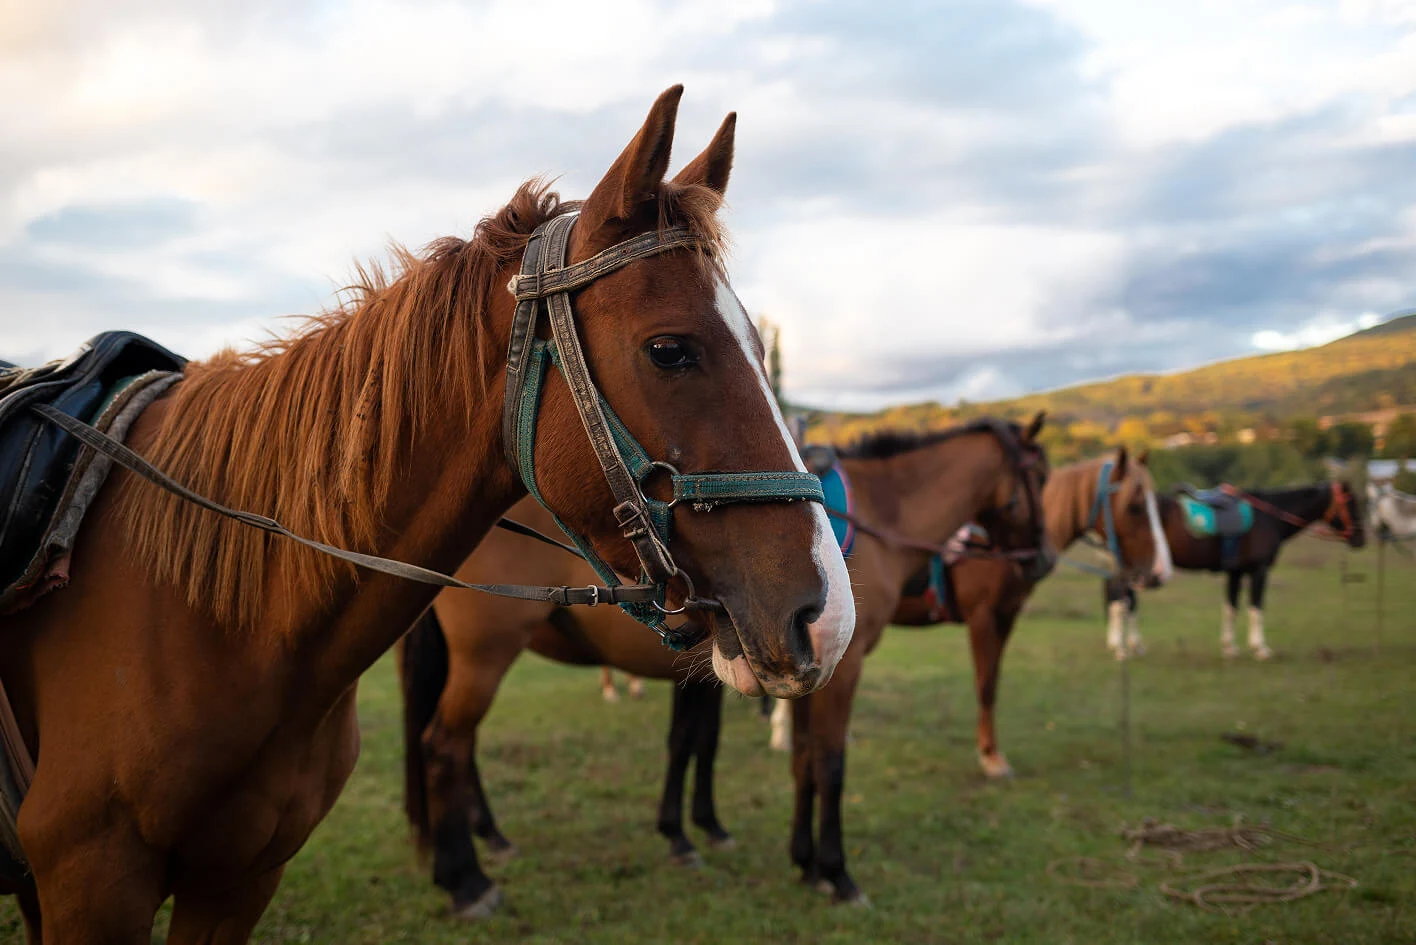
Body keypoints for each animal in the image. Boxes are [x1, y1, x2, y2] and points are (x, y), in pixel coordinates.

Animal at [399, 414, 1051, 917]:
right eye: (1040, 477)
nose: (1042, 558)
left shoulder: (794, 675)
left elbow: (788, 759)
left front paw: (796, 859)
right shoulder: (839, 674)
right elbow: (827, 765)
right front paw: (836, 873)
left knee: (458, 745)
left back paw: (486, 839)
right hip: (486, 654)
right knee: (445, 744)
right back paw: (467, 880)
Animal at [1104, 481, 1364, 660]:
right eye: (1350, 502)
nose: (1360, 539)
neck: (1269, 517)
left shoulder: (1235, 573)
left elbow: (1231, 608)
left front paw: (1229, 648)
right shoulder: (1259, 571)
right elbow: (1256, 608)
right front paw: (1260, 648)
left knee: (1126, 603)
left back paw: (1132, 646)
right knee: (1120, 602)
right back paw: (1119, 648)